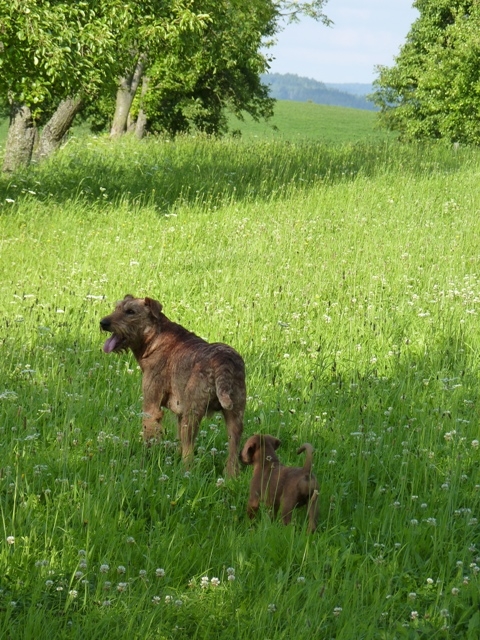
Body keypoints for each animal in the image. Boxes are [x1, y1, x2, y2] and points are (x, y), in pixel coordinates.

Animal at [100, 295, 246, 477]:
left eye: (130, 312)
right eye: (117, 308)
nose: (103, 323)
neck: (154, 338)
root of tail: (223, 361)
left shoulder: (151, 406)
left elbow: (150, 435)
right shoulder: (179, 413)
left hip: (193, 415)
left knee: (189, 453)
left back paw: (186, 473)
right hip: (235, 416)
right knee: (233, 452)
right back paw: (231, 477)